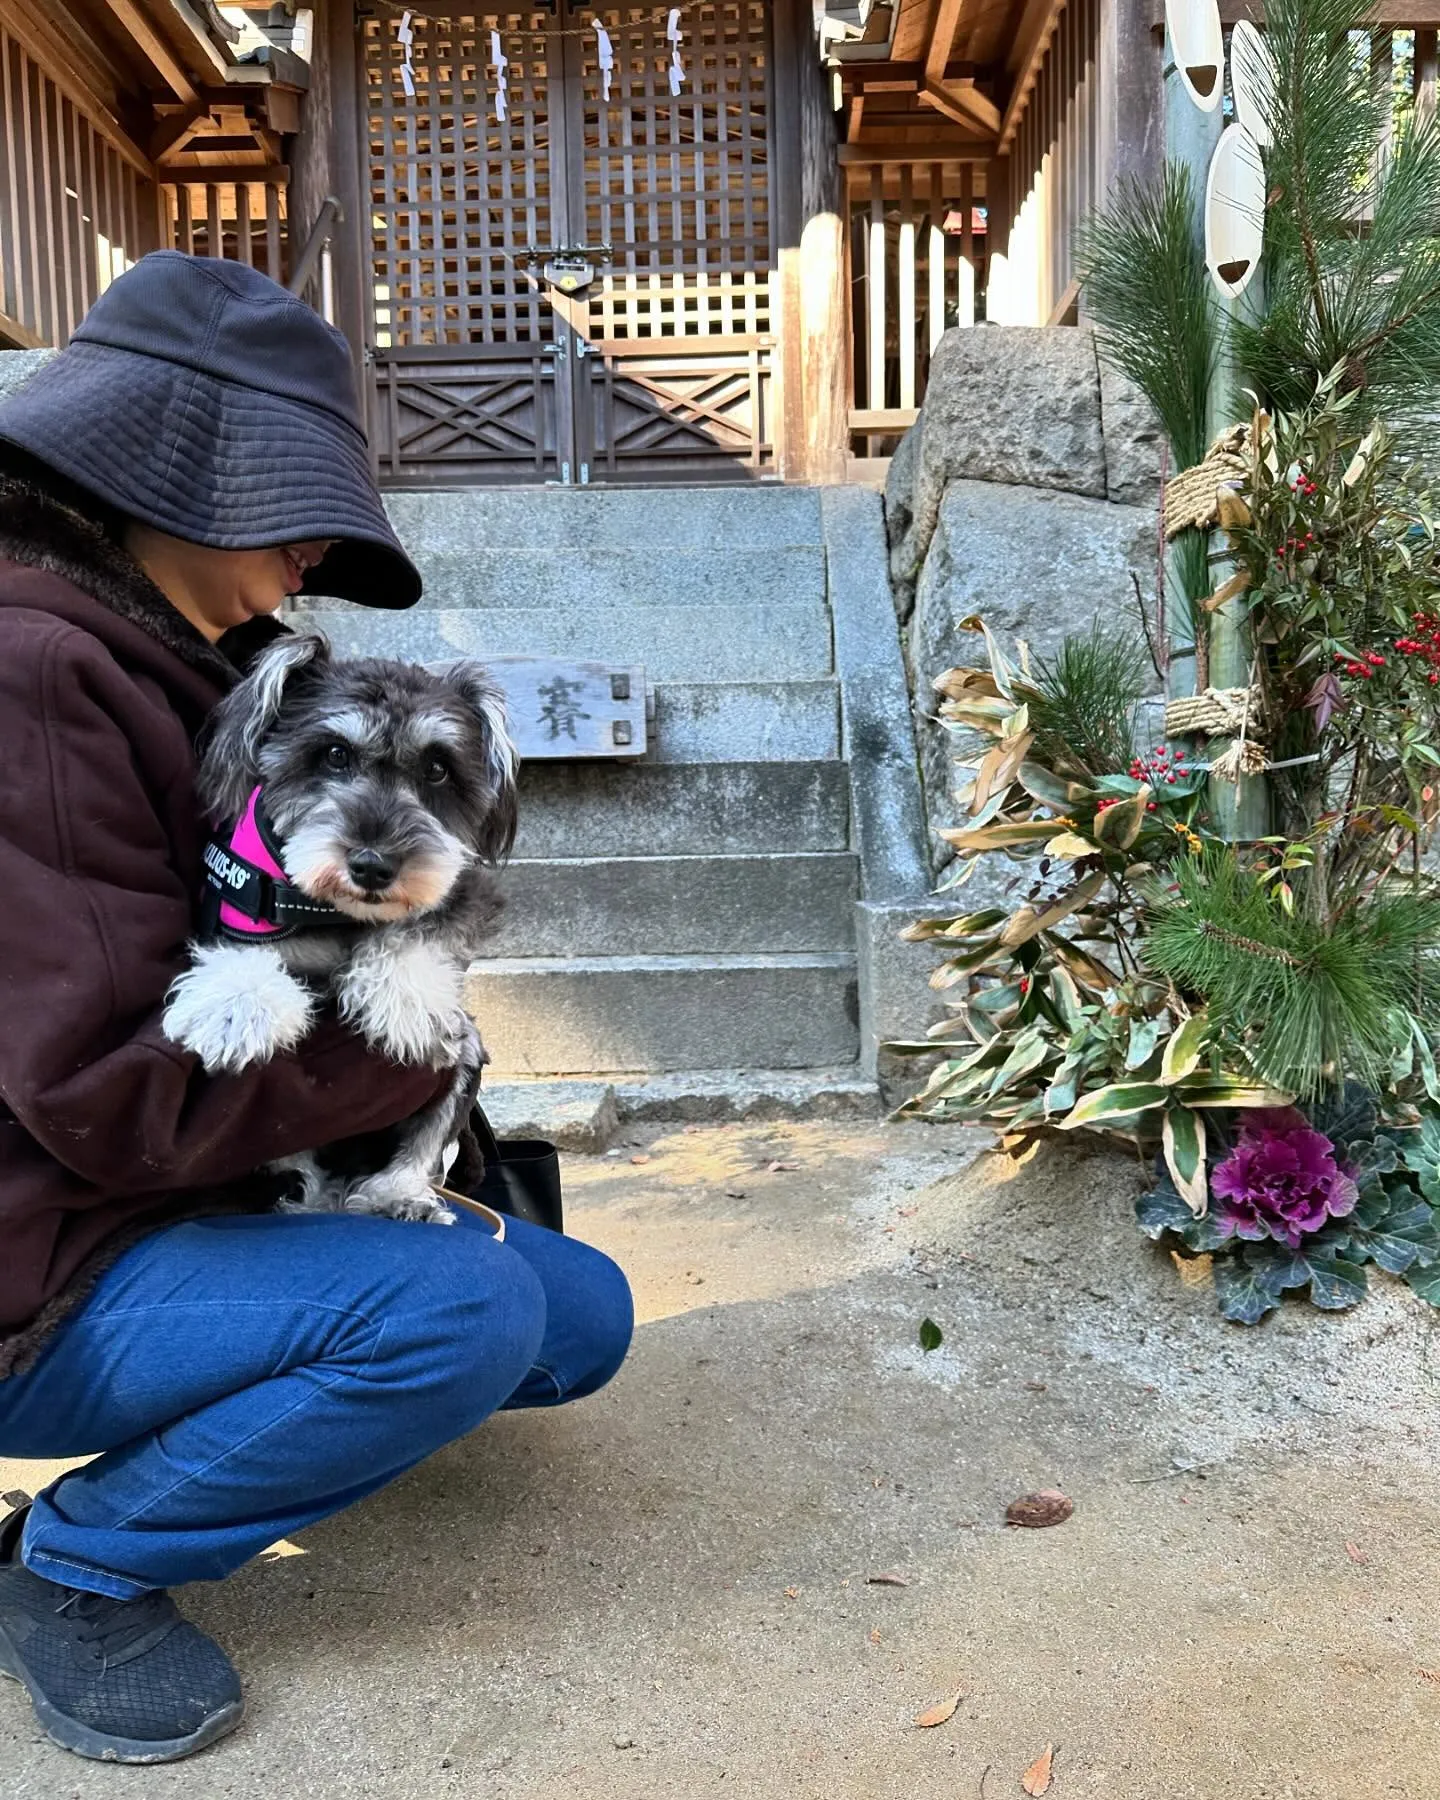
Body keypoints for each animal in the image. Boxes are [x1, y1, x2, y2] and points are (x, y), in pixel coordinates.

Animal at [162, 626, 518, 1231]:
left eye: (438, 768)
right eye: (334, 754)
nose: (373, 866)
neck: (341, 912)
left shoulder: (461, 891)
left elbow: (416, 930)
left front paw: (410, 1006)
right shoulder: (240, 904)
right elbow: (239, 952)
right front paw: (234, 1009)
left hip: (465, 1059)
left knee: (420, 1150)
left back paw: (396, 1195)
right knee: (295, 1160)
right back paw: (312, 1200)